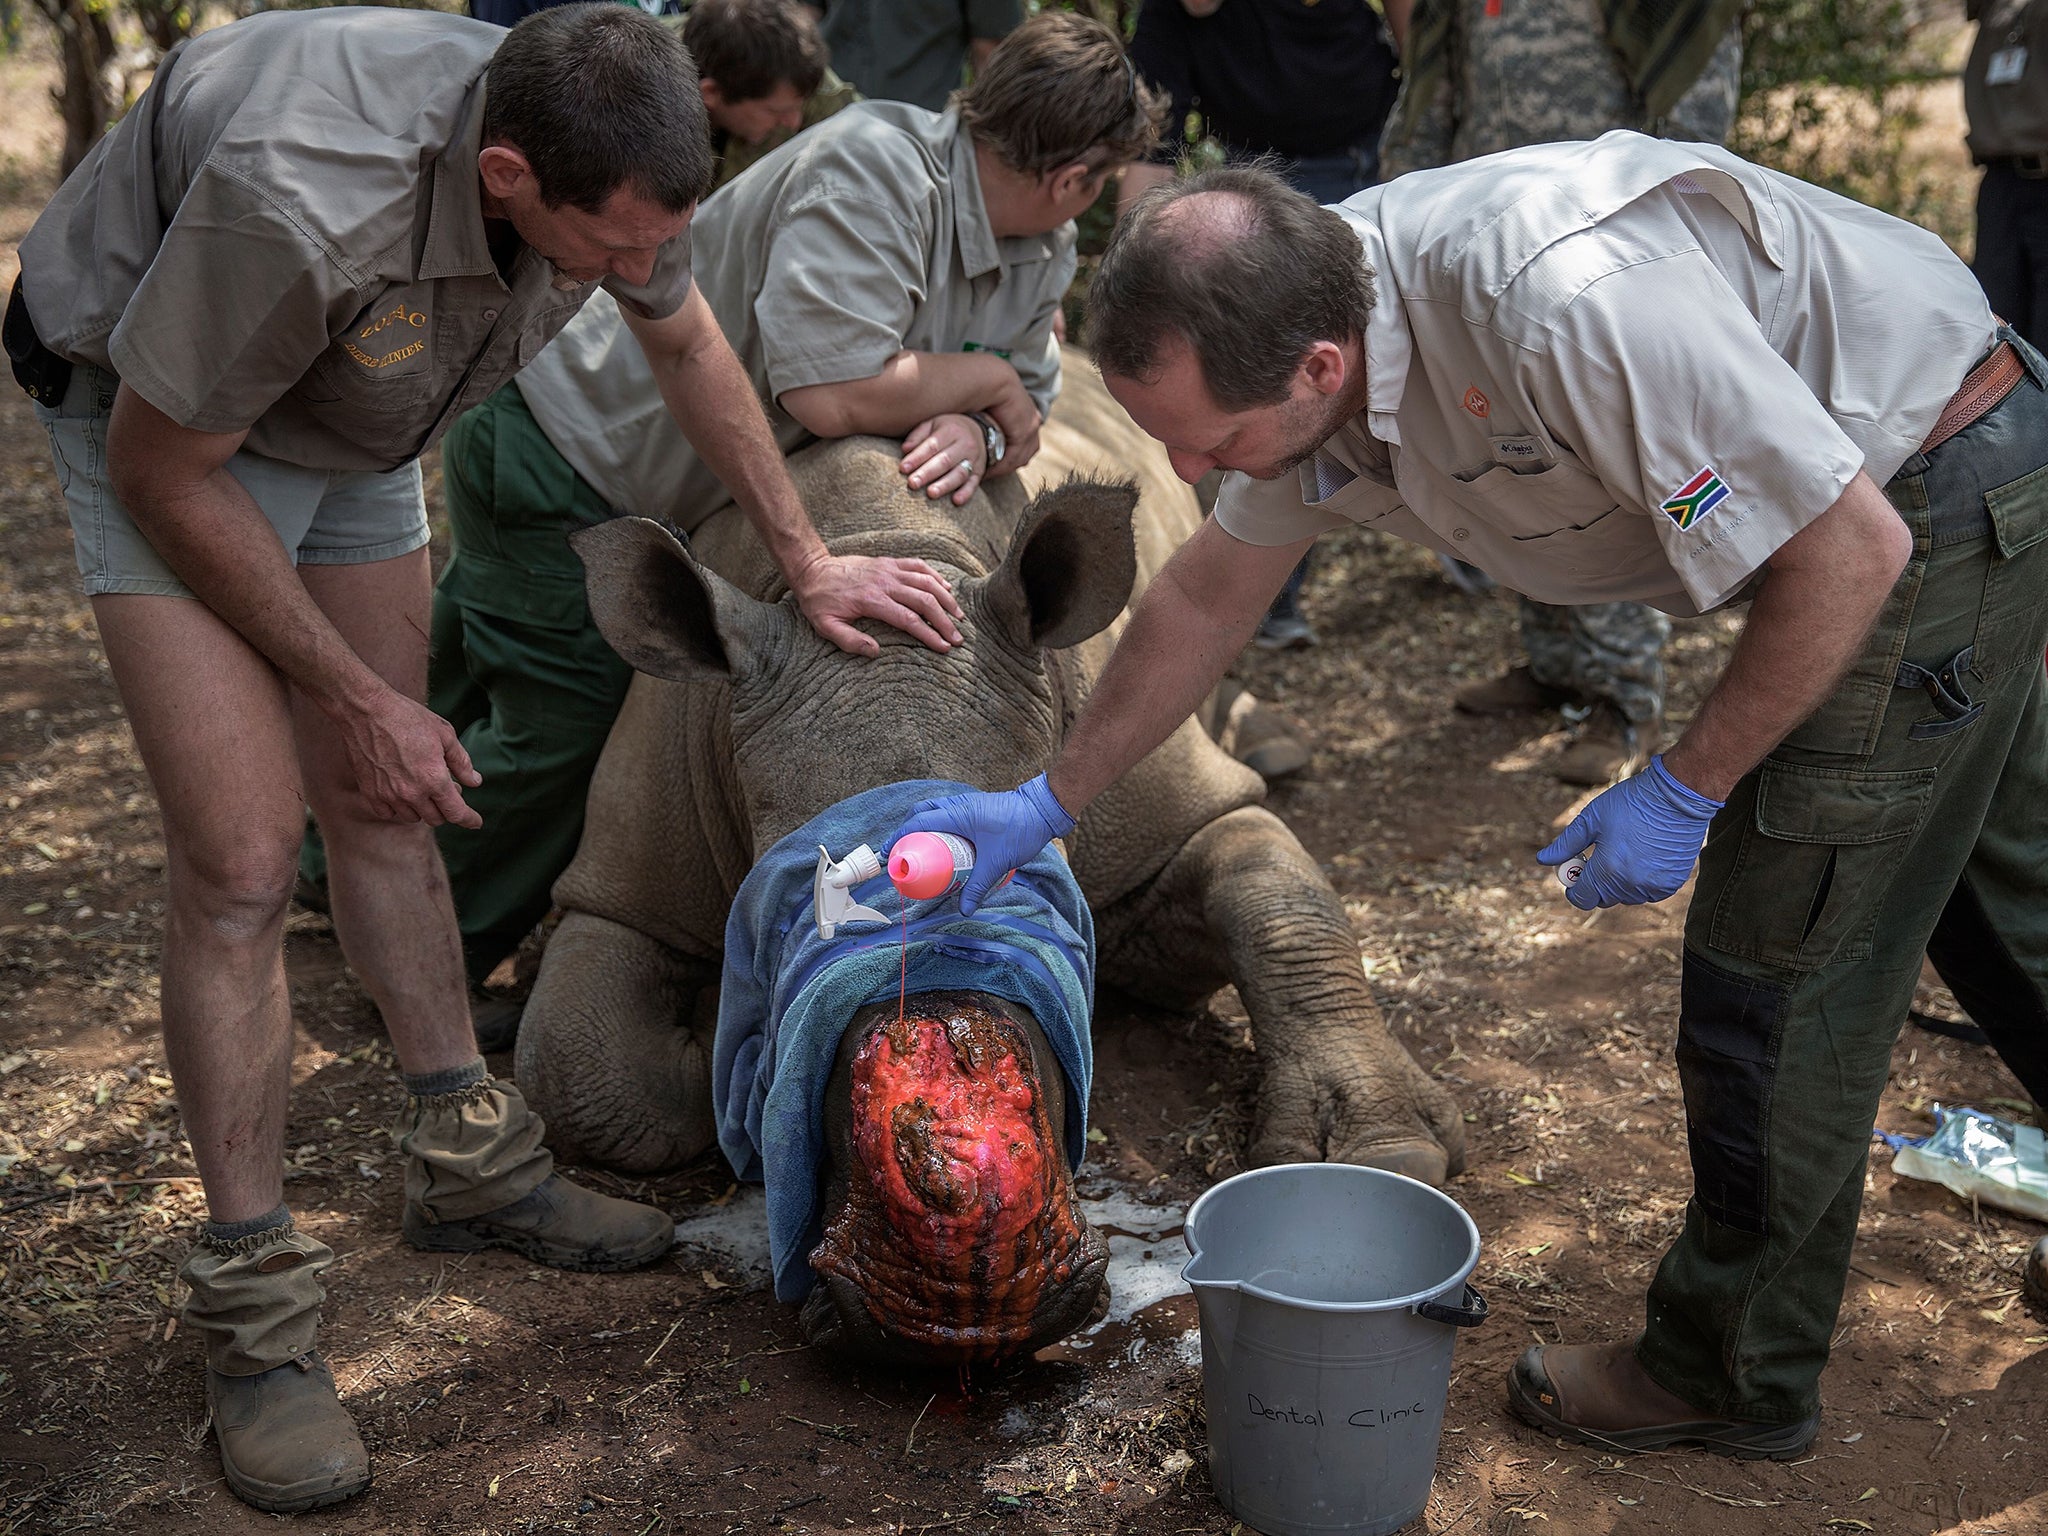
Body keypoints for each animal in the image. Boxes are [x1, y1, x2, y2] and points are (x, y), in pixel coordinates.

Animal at [520, 352, 1466, 1368]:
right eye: (775, 925)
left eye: (1040, 885)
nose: (951, 1296)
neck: (878, 544)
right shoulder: (623, 883)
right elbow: (583, 1069)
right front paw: (715, 1055)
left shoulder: (1171, 794)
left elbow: (1278, 898)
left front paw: (1387, 1156)